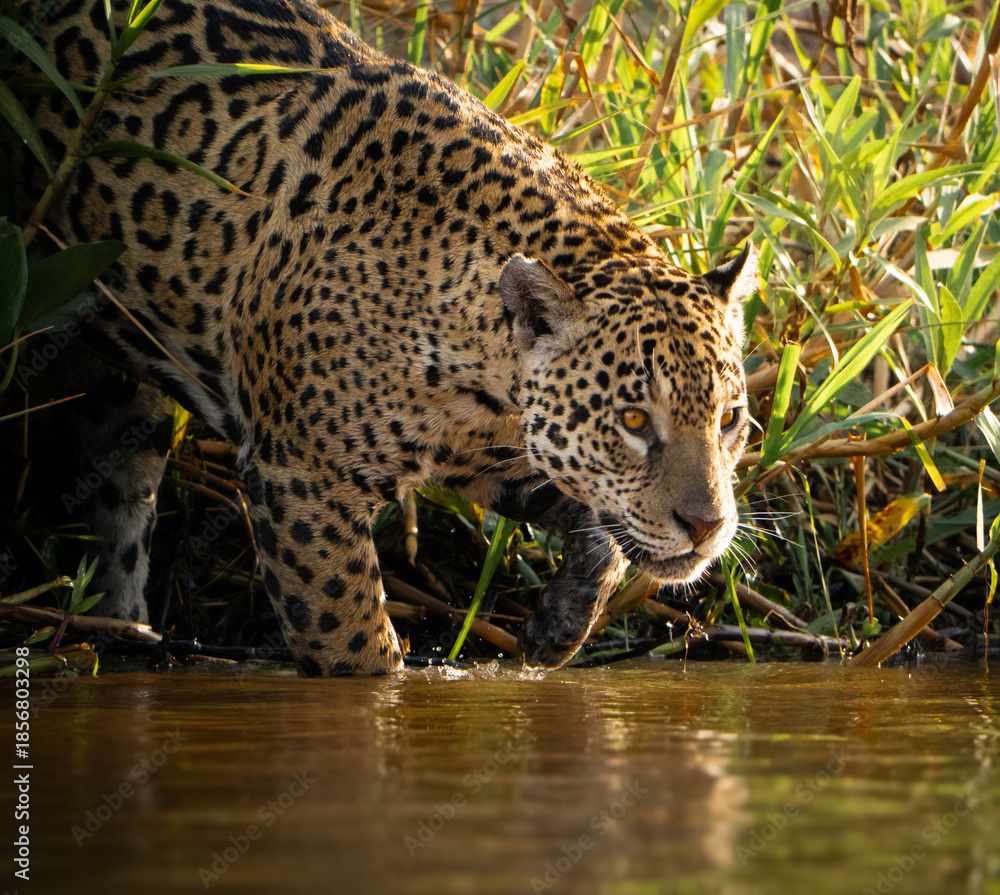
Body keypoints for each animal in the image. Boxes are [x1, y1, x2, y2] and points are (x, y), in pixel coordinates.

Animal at [4, 0, 757, 675]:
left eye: (729, 420)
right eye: (632, 420)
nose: (708, 527)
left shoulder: (492, 454)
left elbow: (597, 525)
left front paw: (558, 627)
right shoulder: (300, 478)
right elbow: (355, 642)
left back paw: (122, 630)